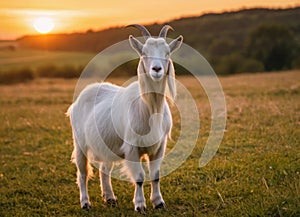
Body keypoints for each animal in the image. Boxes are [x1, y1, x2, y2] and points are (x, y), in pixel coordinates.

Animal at [67, 24, 183, 214]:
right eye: (144, 53)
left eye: (167, 53)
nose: (156, 69)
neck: (149, 108)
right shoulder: (132, 147)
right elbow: (140, 177)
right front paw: (140, 205)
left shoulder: (160, 145)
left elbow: (156, 175)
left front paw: (159, 202)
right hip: (80, 143)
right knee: (82, 173)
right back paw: (85, 203)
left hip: (106, 144)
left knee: (104, 169)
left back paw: (110, 198)